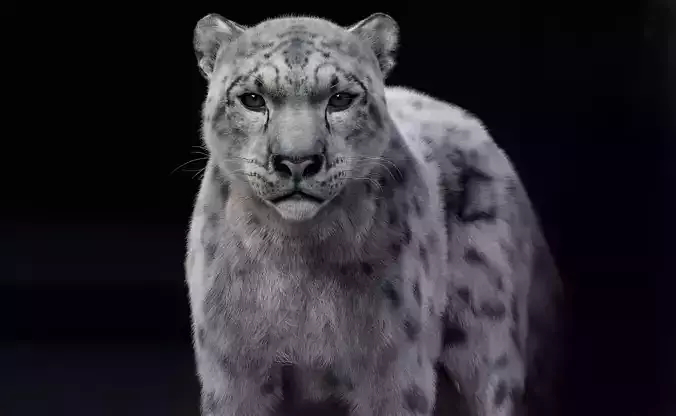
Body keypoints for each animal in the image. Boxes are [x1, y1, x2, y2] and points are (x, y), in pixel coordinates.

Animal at [185, 12, 564, 416]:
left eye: (340, 99)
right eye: (253, 99)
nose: (297, 161)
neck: (297, 254)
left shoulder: (394, 369)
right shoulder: (233, 370)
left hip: (488, 341)